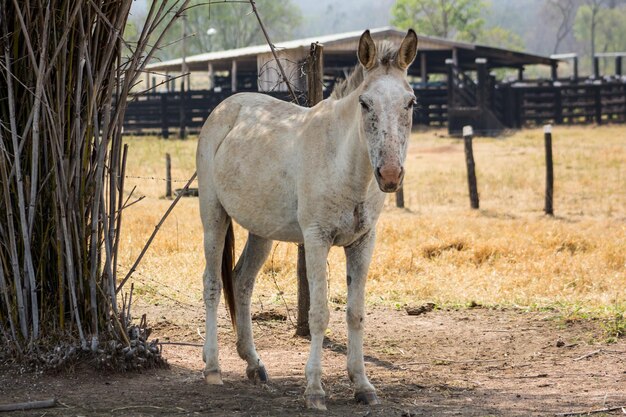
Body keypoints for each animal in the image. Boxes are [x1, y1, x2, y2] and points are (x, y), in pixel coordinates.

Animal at [196, 30, 414, 410]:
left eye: (411, 103)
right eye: (365, 103)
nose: (389, 175)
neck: (344, 164)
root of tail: (224, 108)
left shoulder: (363, 242)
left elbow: (355, 313)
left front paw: (363, 385)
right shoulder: (316, 239)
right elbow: (319, 314)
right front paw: (314, 390)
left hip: (261, 231)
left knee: (241, 282)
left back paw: (254, 363)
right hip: (214, 216)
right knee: (212, 283)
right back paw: (213, 368)